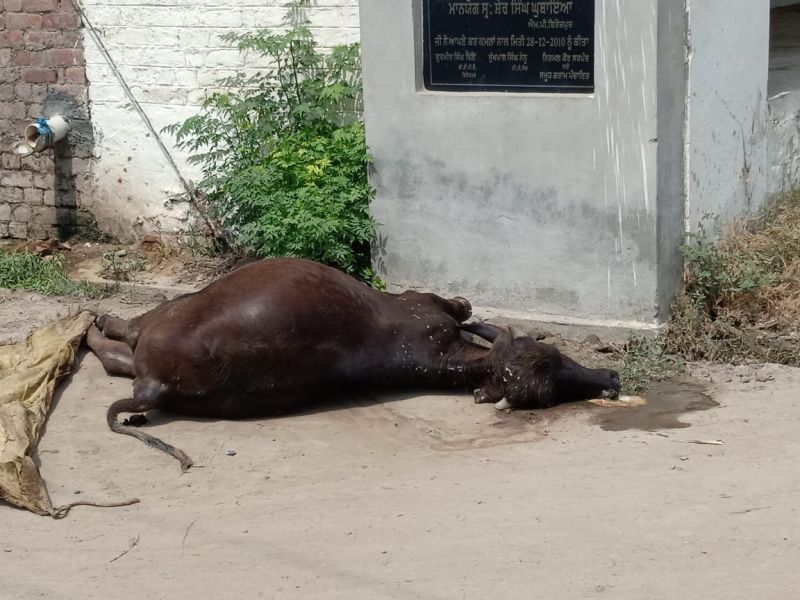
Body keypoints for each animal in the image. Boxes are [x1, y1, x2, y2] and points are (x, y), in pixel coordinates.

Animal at [86, 258, 620, 470]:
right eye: (552, 357)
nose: (611, 378)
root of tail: (155, 384)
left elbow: (462, 306)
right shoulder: (425, 306)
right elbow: (463, 308)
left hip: (164, 320)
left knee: (121, 343)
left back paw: (96, 323)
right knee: (121, 349)